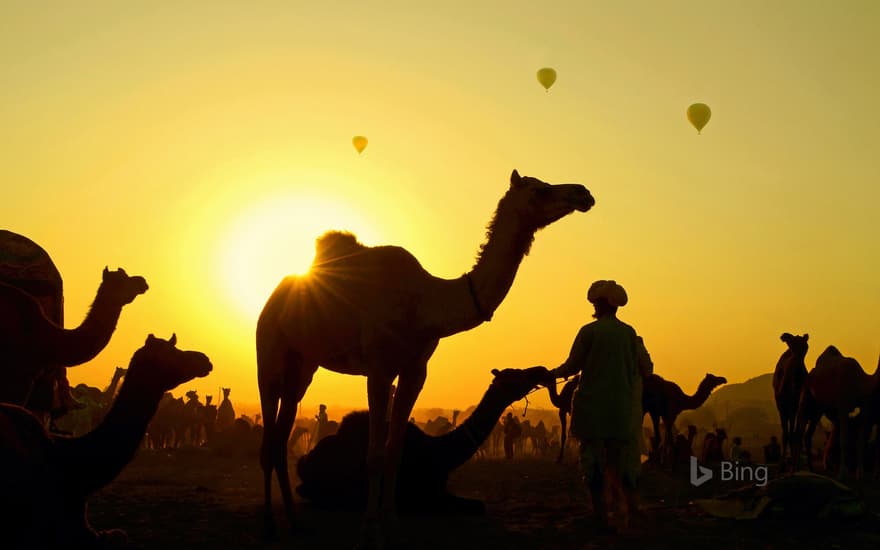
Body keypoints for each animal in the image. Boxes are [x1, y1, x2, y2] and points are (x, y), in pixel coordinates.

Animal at [296, 368, 552, 516]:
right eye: (516, 375)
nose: (541, 370)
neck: (440, 453)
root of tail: (305, 462)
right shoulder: (427, 494)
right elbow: (476, 506)